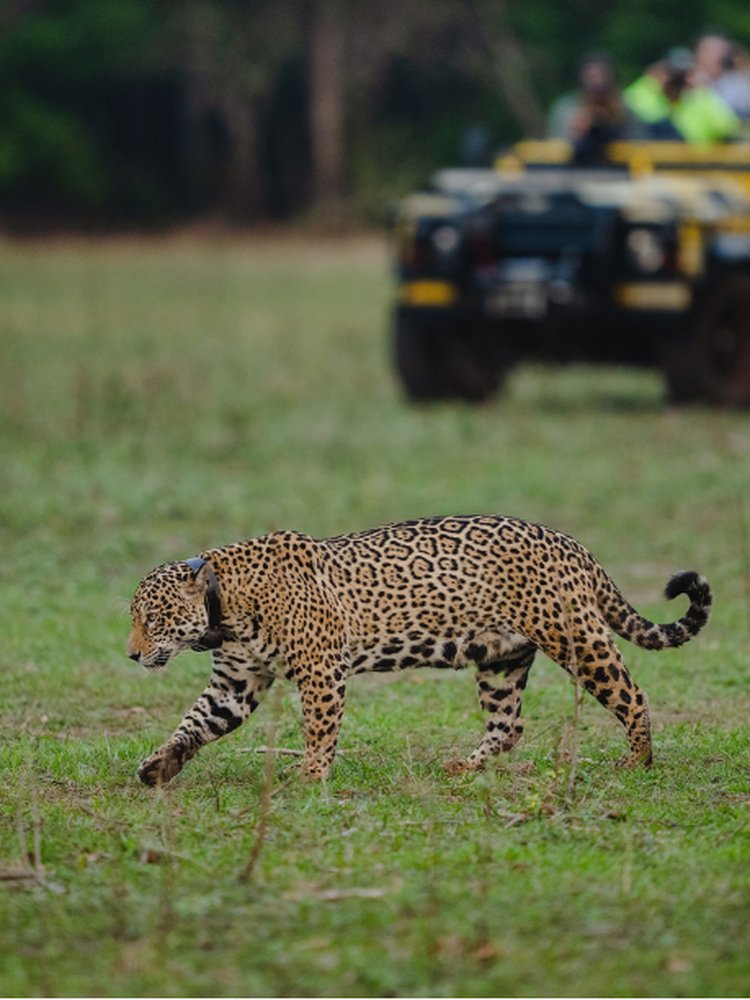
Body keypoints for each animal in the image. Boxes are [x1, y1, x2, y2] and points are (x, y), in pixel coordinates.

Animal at [127, 514, 711, 786]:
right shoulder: (236, 682)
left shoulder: (321, 669)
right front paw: (159, 765)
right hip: (501, 659)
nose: (131, 656)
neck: (224, 603)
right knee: (508, 725)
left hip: (576, 639)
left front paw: (311, 775)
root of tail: (573, 544)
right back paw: (465, 767)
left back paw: (637, 761)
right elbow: (195, 722)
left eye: (151, 619)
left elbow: (318, 727)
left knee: (633, 695)